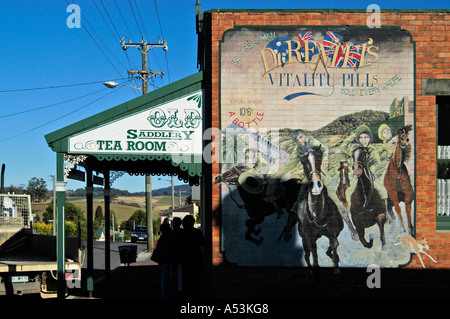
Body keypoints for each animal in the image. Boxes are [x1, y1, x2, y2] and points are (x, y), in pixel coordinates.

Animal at [298, 146, 342, 274]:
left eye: (319, 159)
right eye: (303, 161)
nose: (316, 186)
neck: (319, 215)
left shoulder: (333, 234)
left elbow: (335, 249)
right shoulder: (309, 239)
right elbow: (314, 258)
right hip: (304, 239)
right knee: (307, 256)